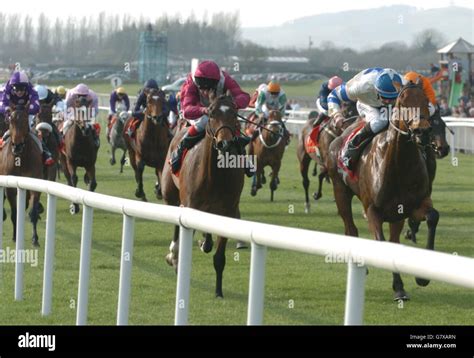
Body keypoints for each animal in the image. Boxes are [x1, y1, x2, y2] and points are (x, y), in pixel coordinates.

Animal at [0, 104, 43, 246]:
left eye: (25, 121)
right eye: (11, 121)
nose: (17, 146)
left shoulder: (35, 184)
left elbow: (33, 212)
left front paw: (35, 238)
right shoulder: (10, 188)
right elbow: (14, 213)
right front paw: (15, 235)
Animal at [162, 93, 244, 298]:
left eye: (234, 113)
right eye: (212, 113)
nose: (225, 143)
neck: (214, 176)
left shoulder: (228, 212)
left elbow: (219, 257)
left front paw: (218, 291)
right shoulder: (190, 205)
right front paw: (177, 259)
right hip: (171, 195)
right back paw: (173, 254)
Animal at [330, 82, 436, 300]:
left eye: (426, 100)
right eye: (402, 102)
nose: (422, 132)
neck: (398, 164)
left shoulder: (414, 206)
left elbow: (432, 217)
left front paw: (420, 278)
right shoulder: (372, 210)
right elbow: (383, 243)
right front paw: (400, 285)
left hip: (396, 215)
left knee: (394, 239)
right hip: (340, 191)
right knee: (351, 228)